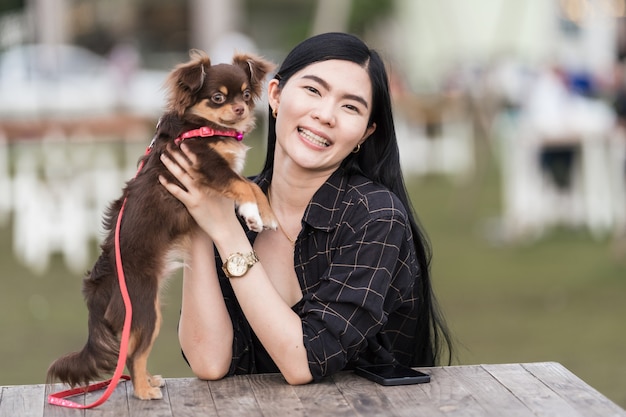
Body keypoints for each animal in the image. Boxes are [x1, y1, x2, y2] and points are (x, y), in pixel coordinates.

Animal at [45, 50, 274, 398]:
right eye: (218, 97)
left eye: (246, 95)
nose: (240, 109)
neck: (204, 128)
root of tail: (97, 288)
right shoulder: (207, 166)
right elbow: (245, 186)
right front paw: (255, 211)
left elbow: (253, 188)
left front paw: (264, 215)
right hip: (144, 310)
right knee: (132, 355)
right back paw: (143, 391)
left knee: (132, 354)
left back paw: (148, 381)